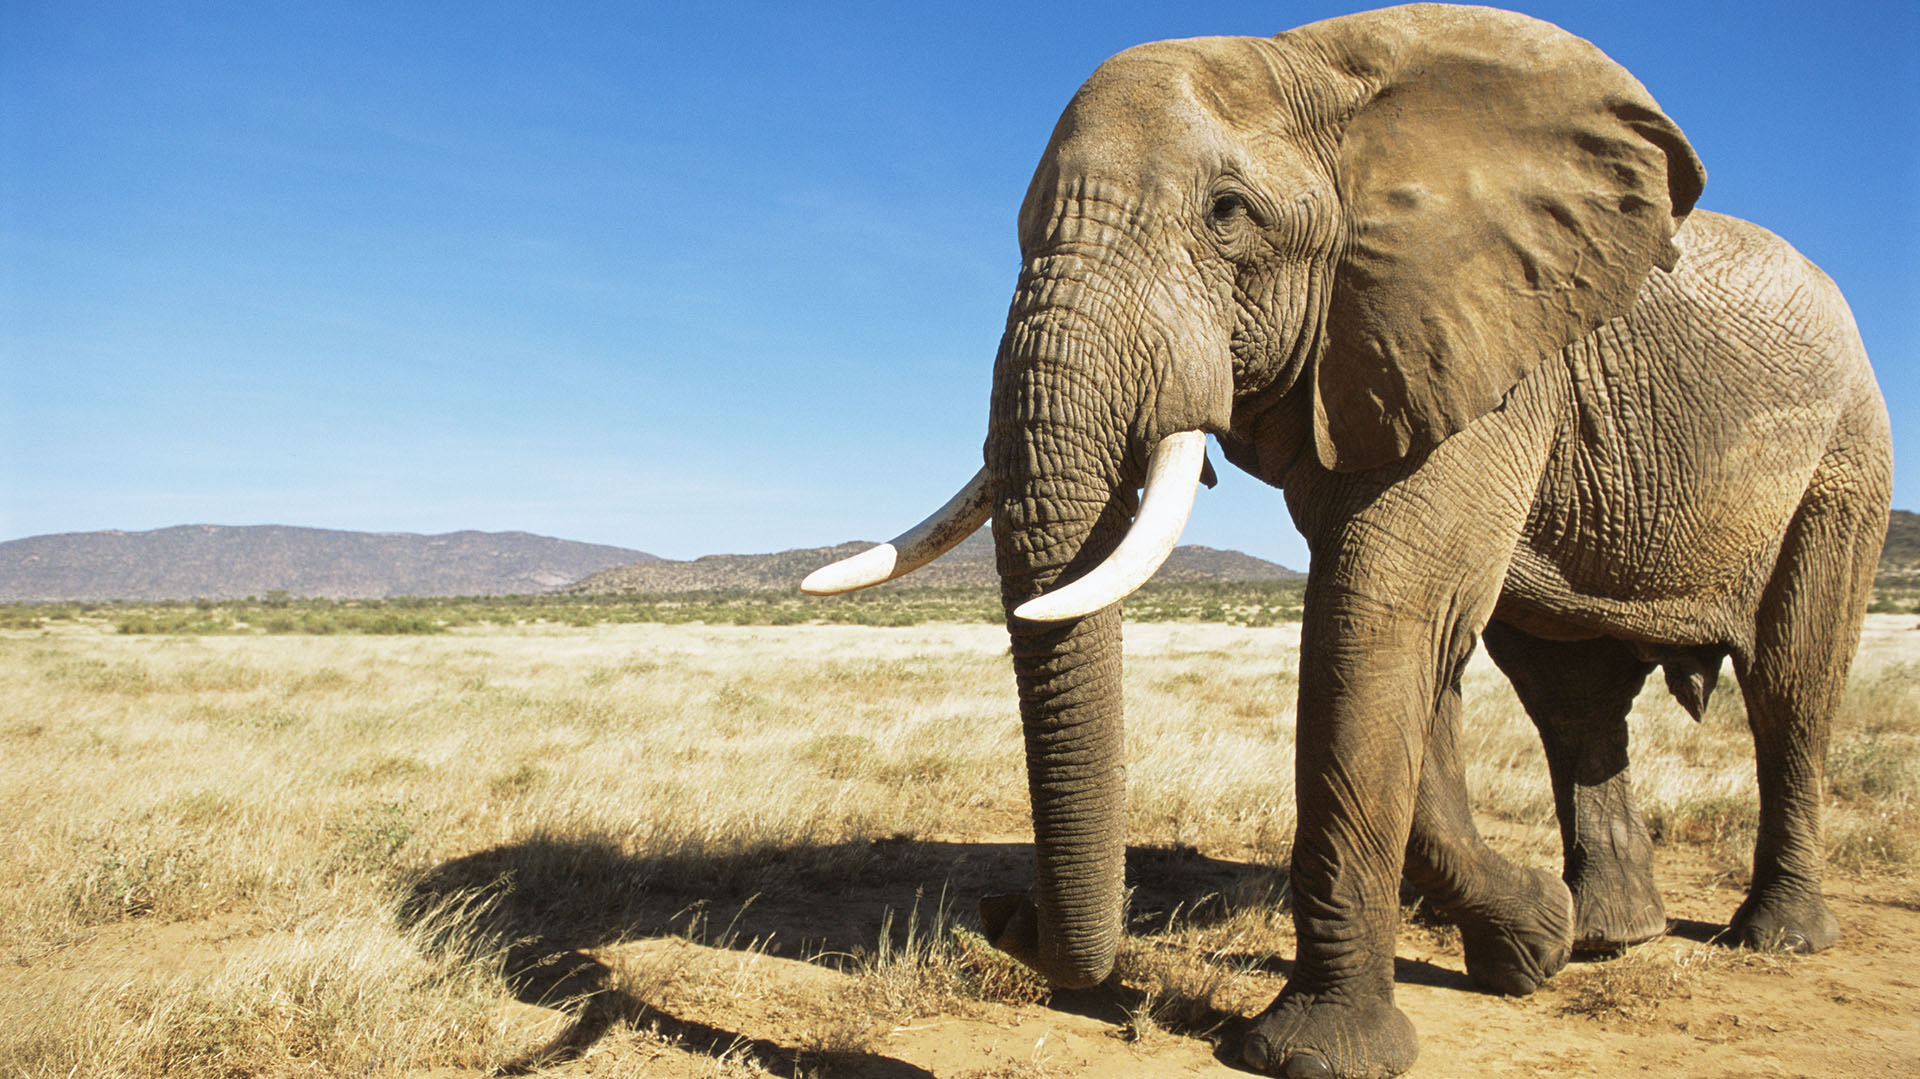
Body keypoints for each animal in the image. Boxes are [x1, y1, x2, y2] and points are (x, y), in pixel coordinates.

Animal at [803, 5, 1891, 1077]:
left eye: (1227, 213)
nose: (1004, 913)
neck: (1317, 70)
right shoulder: (1378, 350)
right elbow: (1409, 642)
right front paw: (1528, 944)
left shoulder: (1479, 345)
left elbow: (1378, 615)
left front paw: (1314, 1054)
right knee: (1570, 698)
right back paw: (1606, 936)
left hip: (1846, 456)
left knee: (1791, 681)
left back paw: (1775, 937)